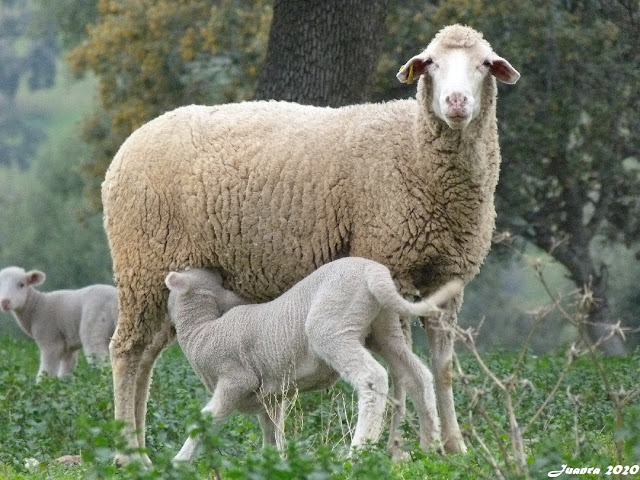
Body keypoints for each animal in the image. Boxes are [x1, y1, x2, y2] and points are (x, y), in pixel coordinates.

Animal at [166, 255, 460, 462]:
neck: (201, 329)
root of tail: (373, 271)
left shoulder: (235, 379)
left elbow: (206, 420)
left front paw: (179, 462)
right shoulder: (269, 397)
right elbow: (272, 431)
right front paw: (274, 461)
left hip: (332, 326)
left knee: (372, 377)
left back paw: (357, 453)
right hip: (384, 327)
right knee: (417, 375)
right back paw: (429, 447)